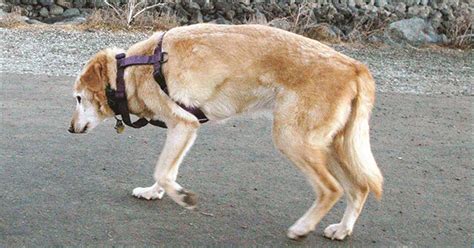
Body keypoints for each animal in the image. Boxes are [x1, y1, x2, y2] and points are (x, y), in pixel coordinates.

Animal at [69, 23, 382, 240]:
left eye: (78, 98)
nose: (69, 128)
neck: (131, 72)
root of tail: (355, 67)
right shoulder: (182, 131)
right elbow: (167, 171)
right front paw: (154, 192)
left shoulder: (183, 125)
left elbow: (163, 171)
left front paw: (182, 196)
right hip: (331, 147)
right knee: (359, 188)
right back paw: (342, 229)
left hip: (294, 141)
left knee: (332, 189)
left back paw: (302, 227)